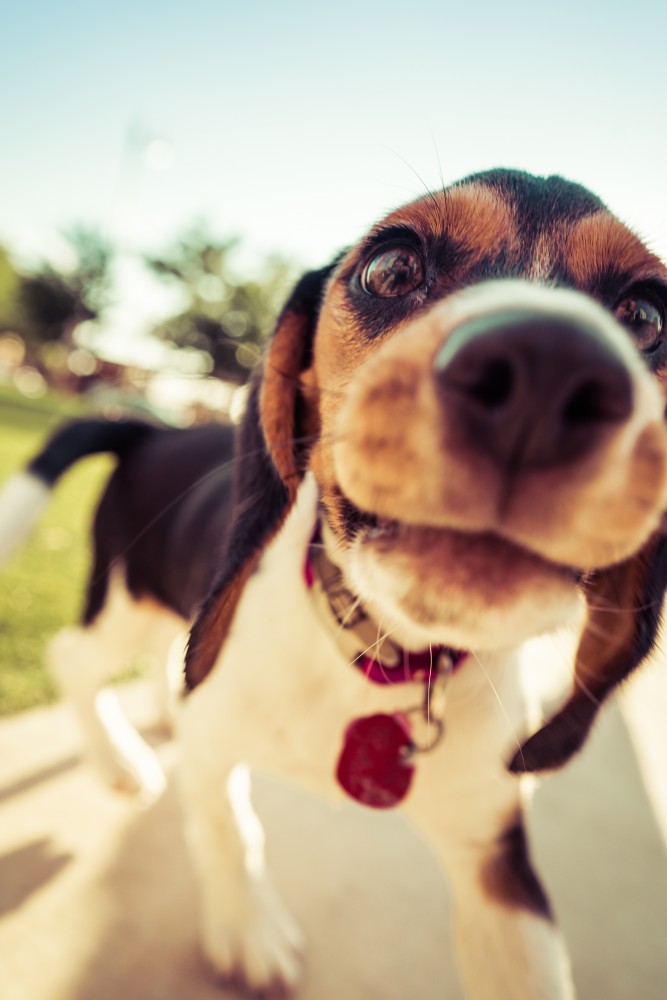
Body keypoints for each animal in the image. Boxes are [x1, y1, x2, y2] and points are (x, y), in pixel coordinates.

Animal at [7, 170, 667, 1000]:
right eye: (390, 267)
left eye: (645, 316)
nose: (547, 368)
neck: (378, 656)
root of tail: (152, 430)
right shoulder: (216, 742)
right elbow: (228, 828)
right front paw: (248, 930)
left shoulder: (493, 853)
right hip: (124, 598)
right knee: (72, 657)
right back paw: (121, 761)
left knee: (165, 658)